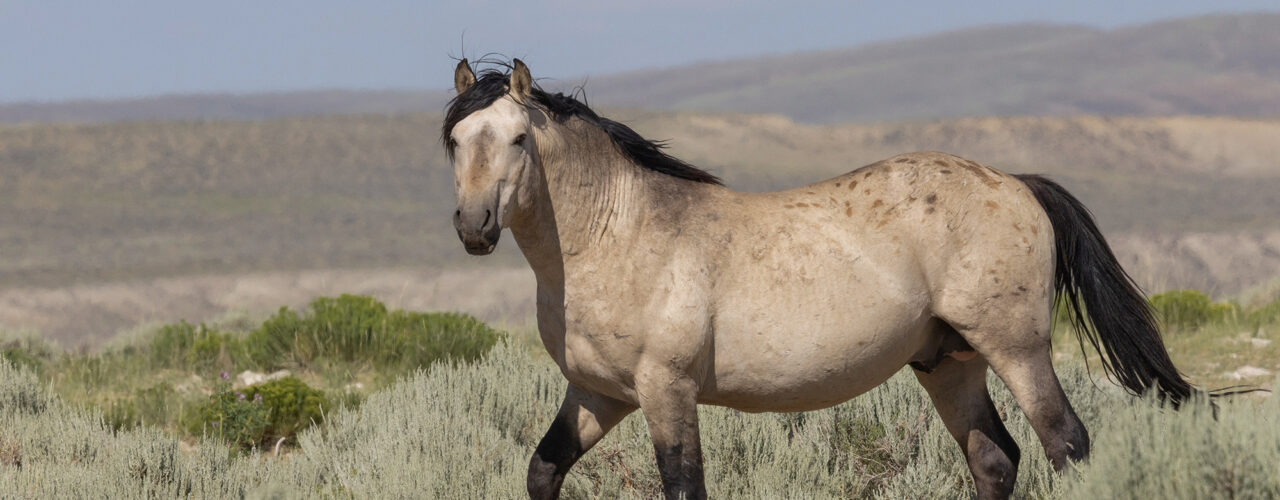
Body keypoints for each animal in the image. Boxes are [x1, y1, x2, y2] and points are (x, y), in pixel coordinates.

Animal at [442, 59, 1198, 500]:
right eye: (454, 140)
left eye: (518, 140)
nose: (475, 227)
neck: (620, 236)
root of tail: (1016, 182)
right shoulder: (598, 394)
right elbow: (543, 470)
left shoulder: (667, 391)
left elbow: (682, 487)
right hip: (948, 363)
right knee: (996, 458)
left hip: (1017, 349)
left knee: (1066, 445)